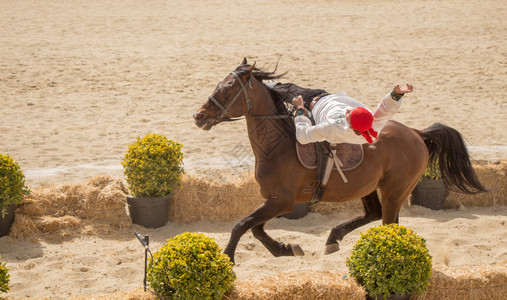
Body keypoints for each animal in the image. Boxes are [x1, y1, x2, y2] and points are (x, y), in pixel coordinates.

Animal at [192, 58, 486, 262]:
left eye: (227, 90)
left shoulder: (282, 201)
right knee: (373, 213)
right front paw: (285, 249)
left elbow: (242, 225)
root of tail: (417, 133)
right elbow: (255, 228)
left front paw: (228, 257)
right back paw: (334, 238)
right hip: (367, 187)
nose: (199, 116)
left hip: (395, 191)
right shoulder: (273, 200)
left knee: (388, 222)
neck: (276, 146)